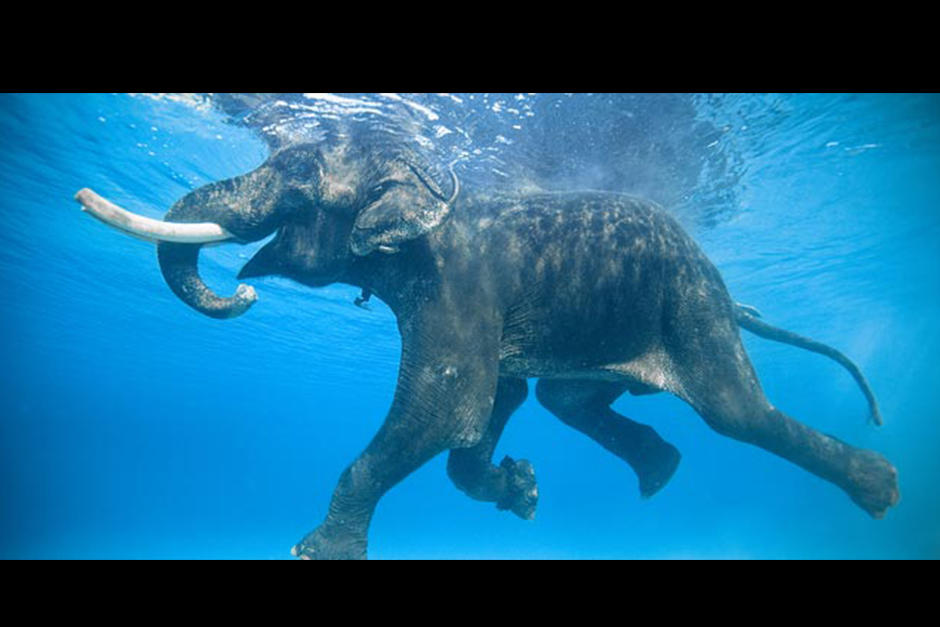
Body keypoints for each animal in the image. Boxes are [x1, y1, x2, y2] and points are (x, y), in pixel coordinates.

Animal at [75, 135, 900, 559]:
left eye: (298, 181)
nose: (242, 295)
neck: (429, 181)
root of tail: (733, 297)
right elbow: (490, 406)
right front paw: (521, 490)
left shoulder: (456, 290)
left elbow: (447, 408)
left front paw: (314, 552)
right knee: (565, 399)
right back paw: (659, 474)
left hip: (692, 308)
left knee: (740, 414)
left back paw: (880, 489)